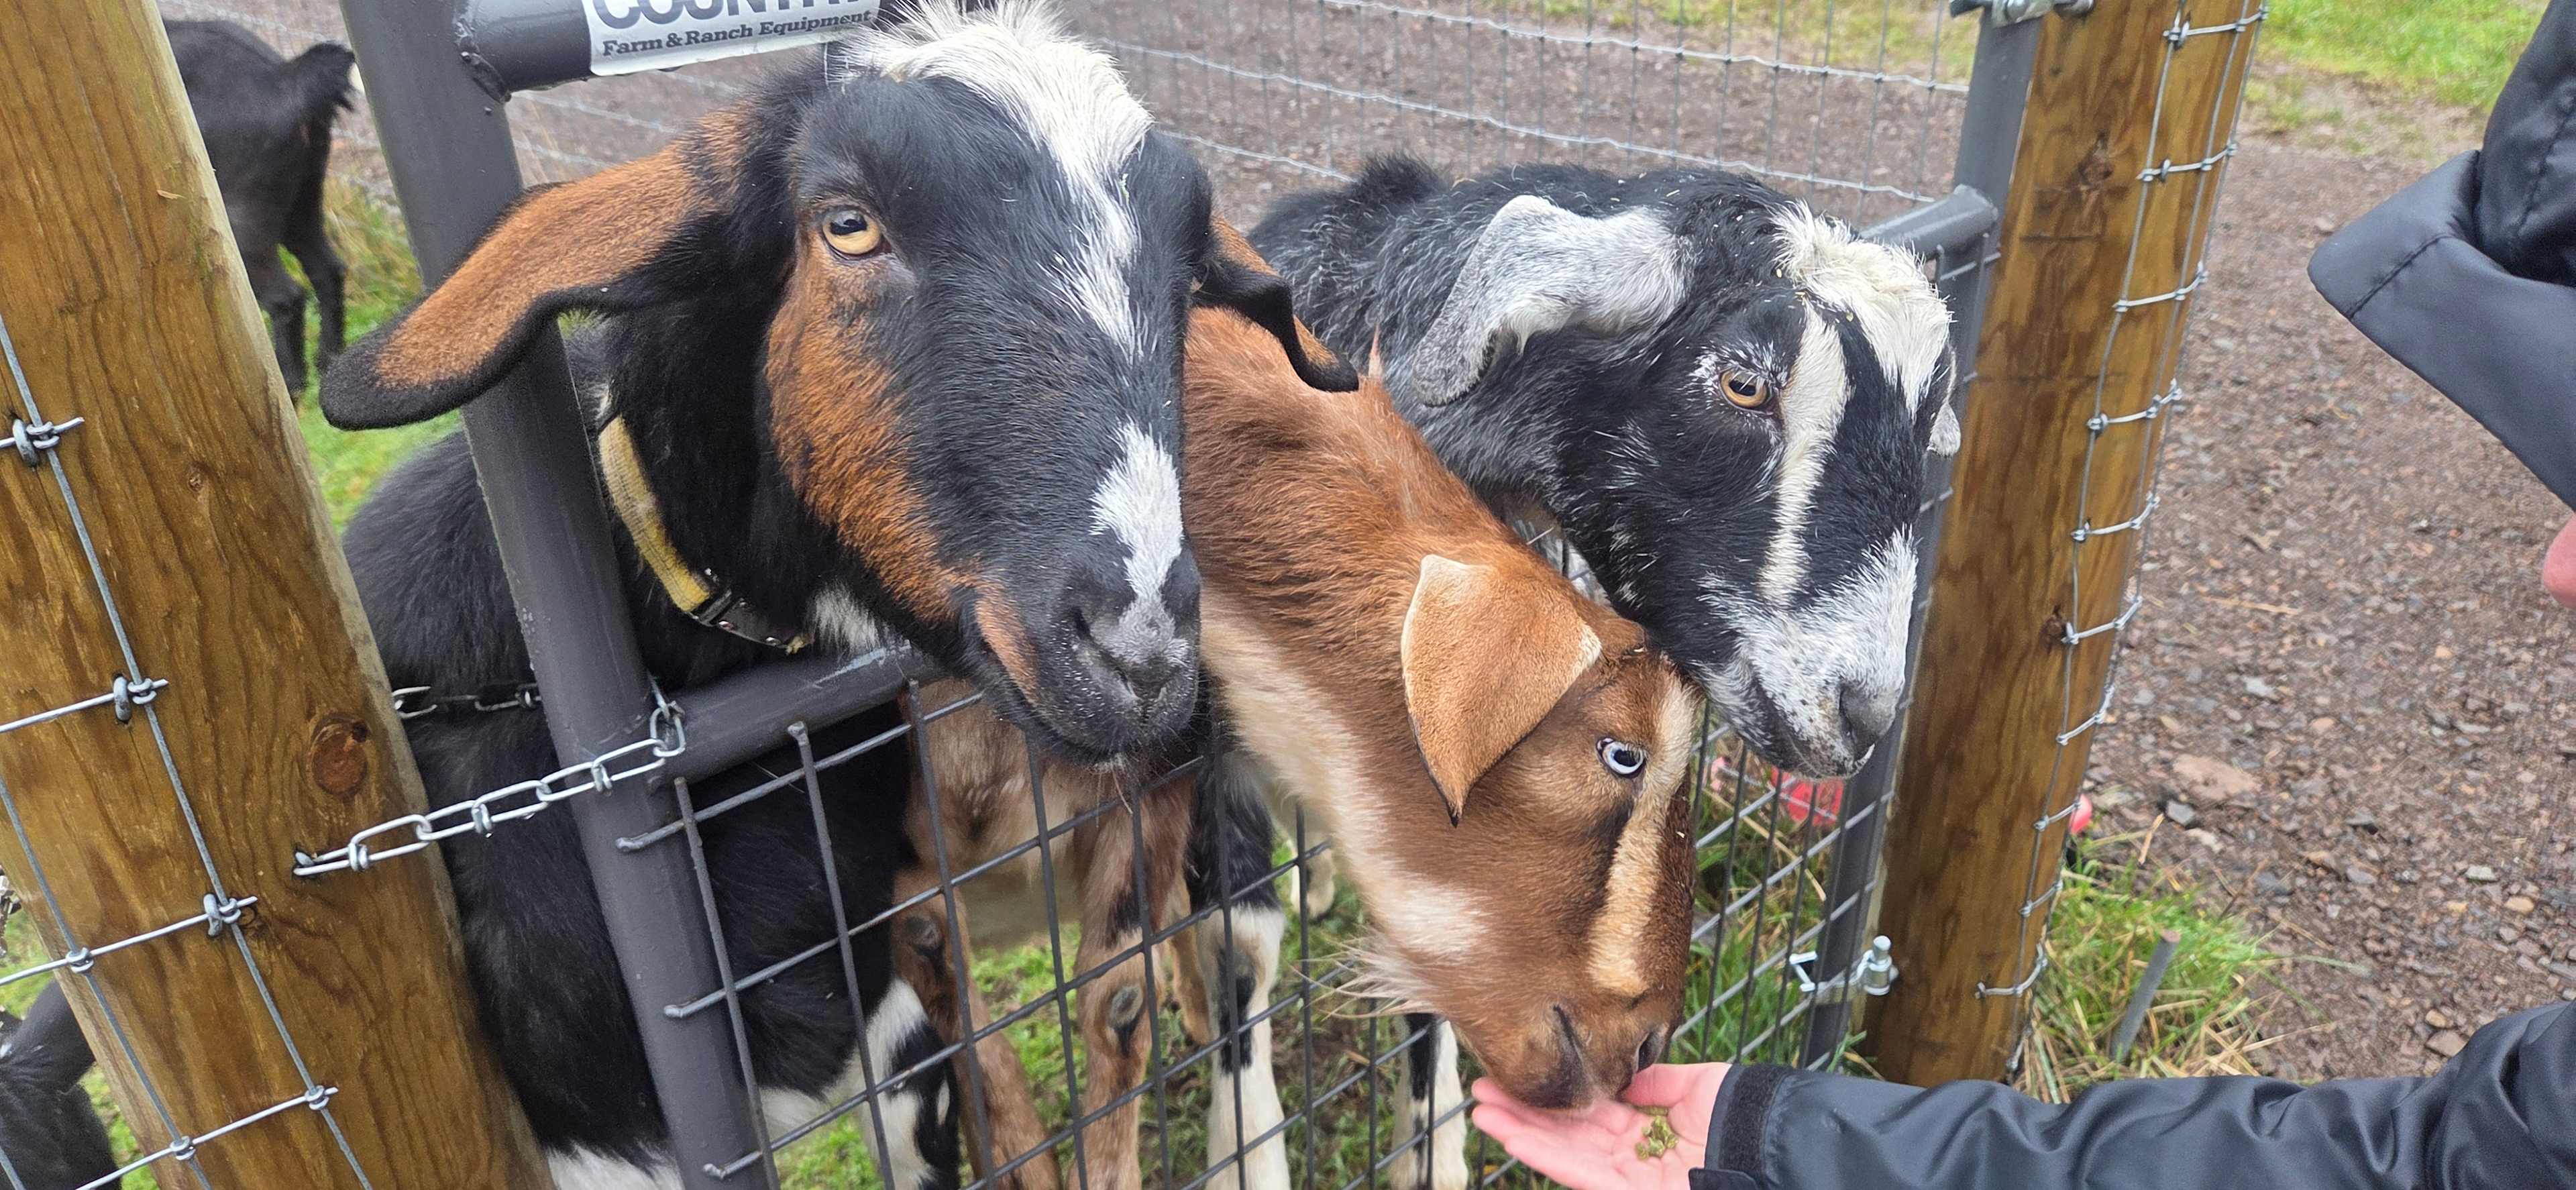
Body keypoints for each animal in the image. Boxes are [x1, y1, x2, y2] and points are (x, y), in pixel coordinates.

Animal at [167, 19, 354, 396]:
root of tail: (285, 78)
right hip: (301, 203)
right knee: (328, 270)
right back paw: (329, 363)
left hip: (237, 224)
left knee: (286, 298)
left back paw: (290, 381)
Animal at [904, 305, 1705, 1190]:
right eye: (1623, 754)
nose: (1648, 1043)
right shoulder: (1209, 759)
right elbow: (1239, 946)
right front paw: (1249, 1154)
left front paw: (1435, 1153)